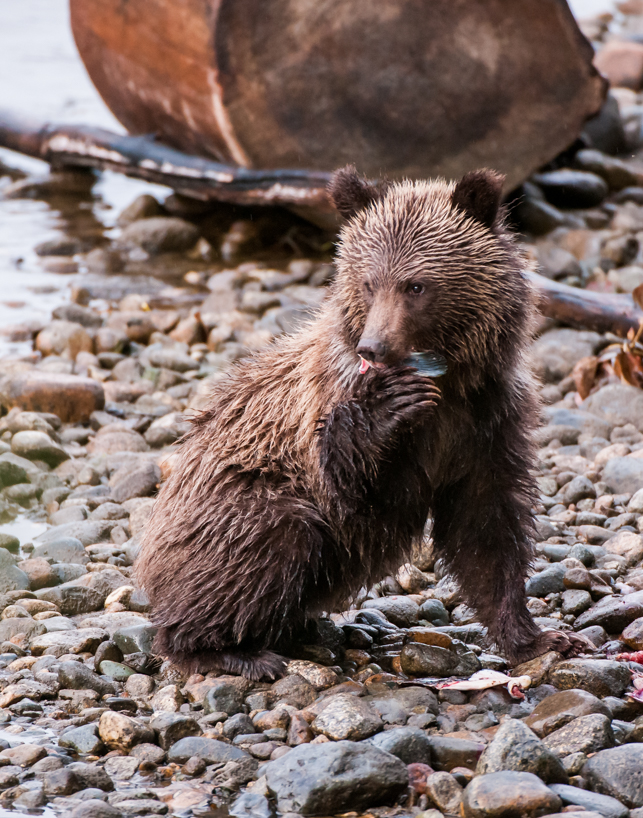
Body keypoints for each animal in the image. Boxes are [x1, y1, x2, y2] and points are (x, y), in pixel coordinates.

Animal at [135, 166, 587, 681]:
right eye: (370, 283)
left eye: (416, 285)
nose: (373, 346)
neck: (448, 383)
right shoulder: (331, 410)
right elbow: (354, 496)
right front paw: (389, 405)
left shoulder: (489, 419)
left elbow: (487, 526)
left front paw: (537, 638)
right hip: (223, 505)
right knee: (270, 537)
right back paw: (226, 650)